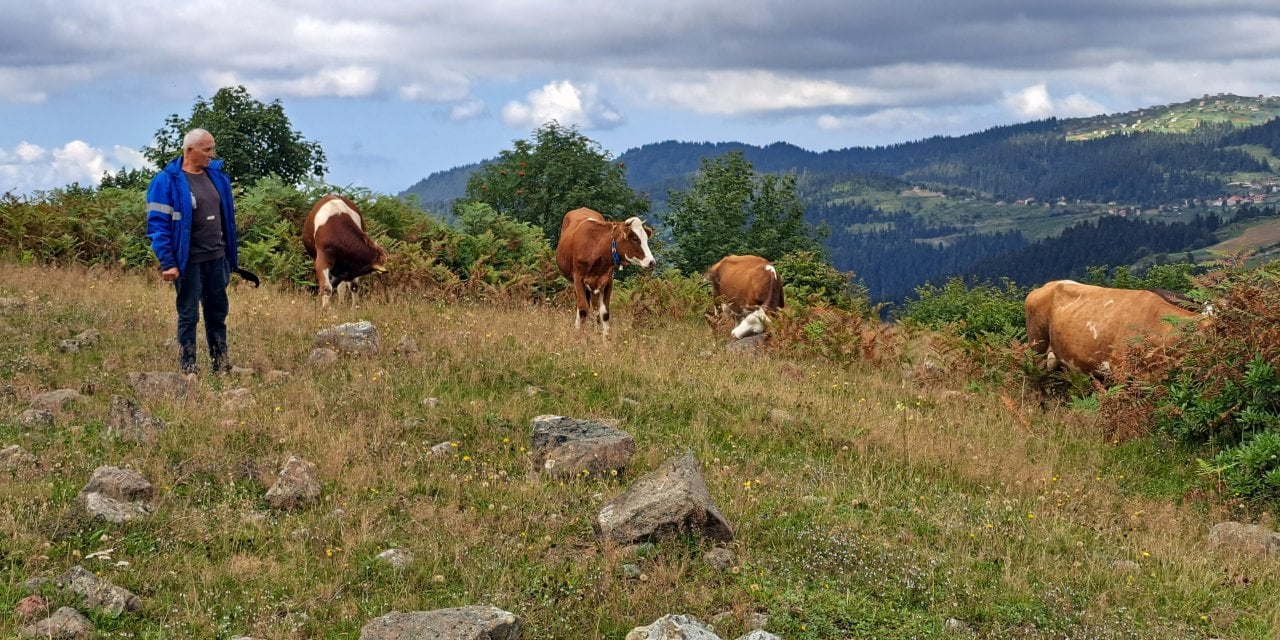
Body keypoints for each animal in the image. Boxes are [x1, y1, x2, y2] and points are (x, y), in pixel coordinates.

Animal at [552, 208, 655, 340]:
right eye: (635, 238)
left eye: (646, 239)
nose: (651, 262)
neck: (596, 246)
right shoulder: (578, 278)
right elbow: (583, 309)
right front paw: (580, 337)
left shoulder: (607, 280)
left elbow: (605, 313)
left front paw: (605, 340)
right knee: (581, 306)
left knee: (595, 307)